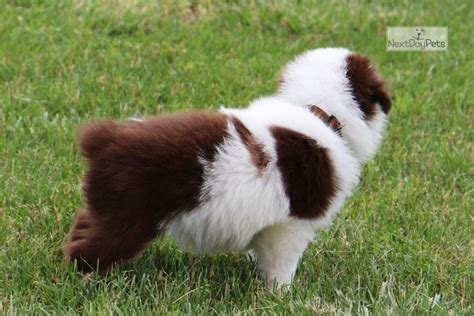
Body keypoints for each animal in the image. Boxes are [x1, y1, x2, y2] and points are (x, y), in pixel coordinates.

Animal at [64, 47, 392, 288]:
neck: (316, 110)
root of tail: (105, 139)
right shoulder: (290, 226)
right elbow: (282, 265)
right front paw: (281, 295)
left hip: (109, 209)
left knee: (82, 227)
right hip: (128, 216)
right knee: (89, 249)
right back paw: (88, 282)